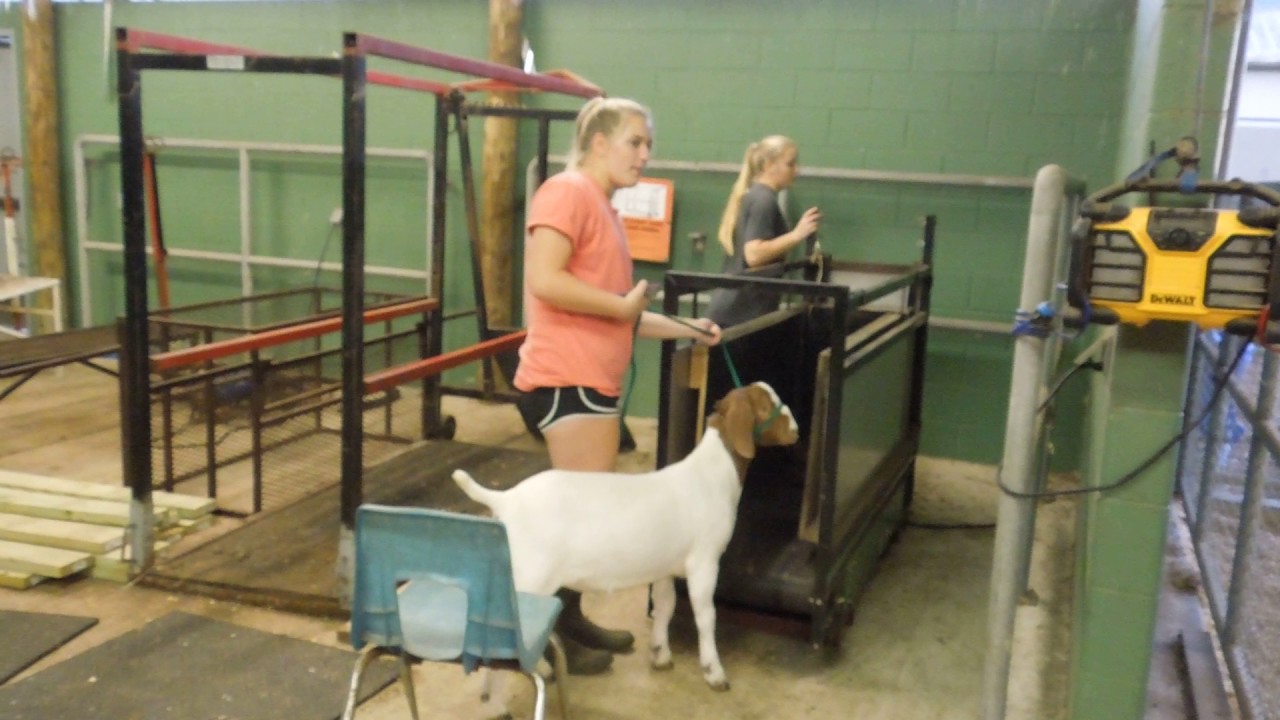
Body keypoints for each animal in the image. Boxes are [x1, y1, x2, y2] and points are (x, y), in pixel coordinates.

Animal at [450, 379, 788, 686]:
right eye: (766, 405)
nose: (795, 428)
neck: (711, 475)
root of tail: (505, 499)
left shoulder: (665, 566)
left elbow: (665, 606)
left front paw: (661, 655)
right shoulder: (704, 561)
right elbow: (706, 616)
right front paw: (714, 672)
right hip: (530, 575)